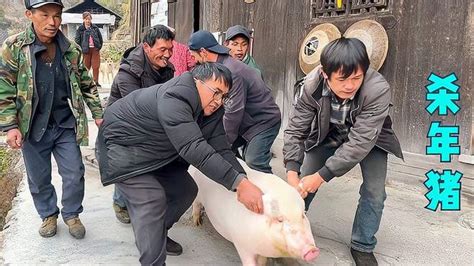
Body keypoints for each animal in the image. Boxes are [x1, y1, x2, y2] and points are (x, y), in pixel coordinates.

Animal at [188, 159, 318, 264]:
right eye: (280, 219)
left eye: (302, 215)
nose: (312, 250)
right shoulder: (242, 245)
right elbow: (248, 261)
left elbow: (262, 261)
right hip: (197, 195)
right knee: (196, 205)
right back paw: (197, 223)